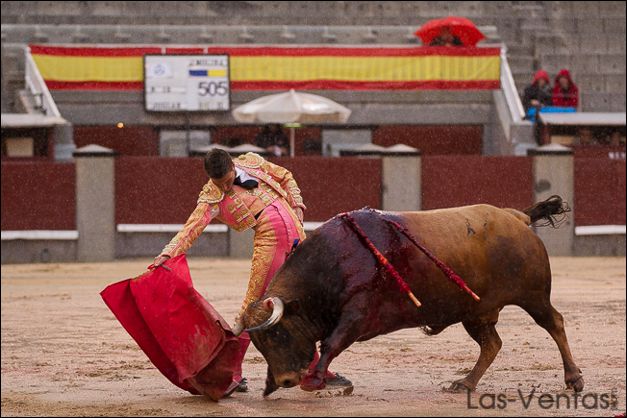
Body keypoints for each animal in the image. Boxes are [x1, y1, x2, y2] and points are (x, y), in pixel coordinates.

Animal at [244, 196, 584, 396]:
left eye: (278, 334)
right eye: (259, 343)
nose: (285, 380)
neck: (331, 263)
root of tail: (515, 217)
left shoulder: (357, 312)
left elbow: (330, 344)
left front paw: (314, 381)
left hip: (533, 295)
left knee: (554, 323)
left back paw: (574, 379)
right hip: (474, 312)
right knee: (492, 344)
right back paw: (465, 383)